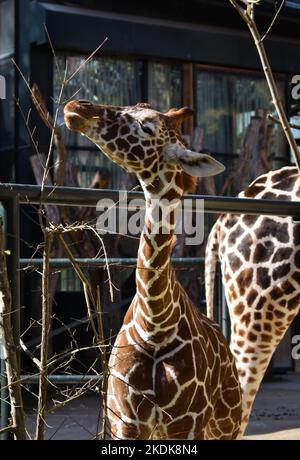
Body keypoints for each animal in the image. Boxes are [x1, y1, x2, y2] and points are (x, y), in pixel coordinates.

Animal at [64, 99, 243, 438]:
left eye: (146, 126)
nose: (77, 106)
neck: (155, 325)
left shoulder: (186, 423)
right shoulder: (125, 422)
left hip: (227, 424)